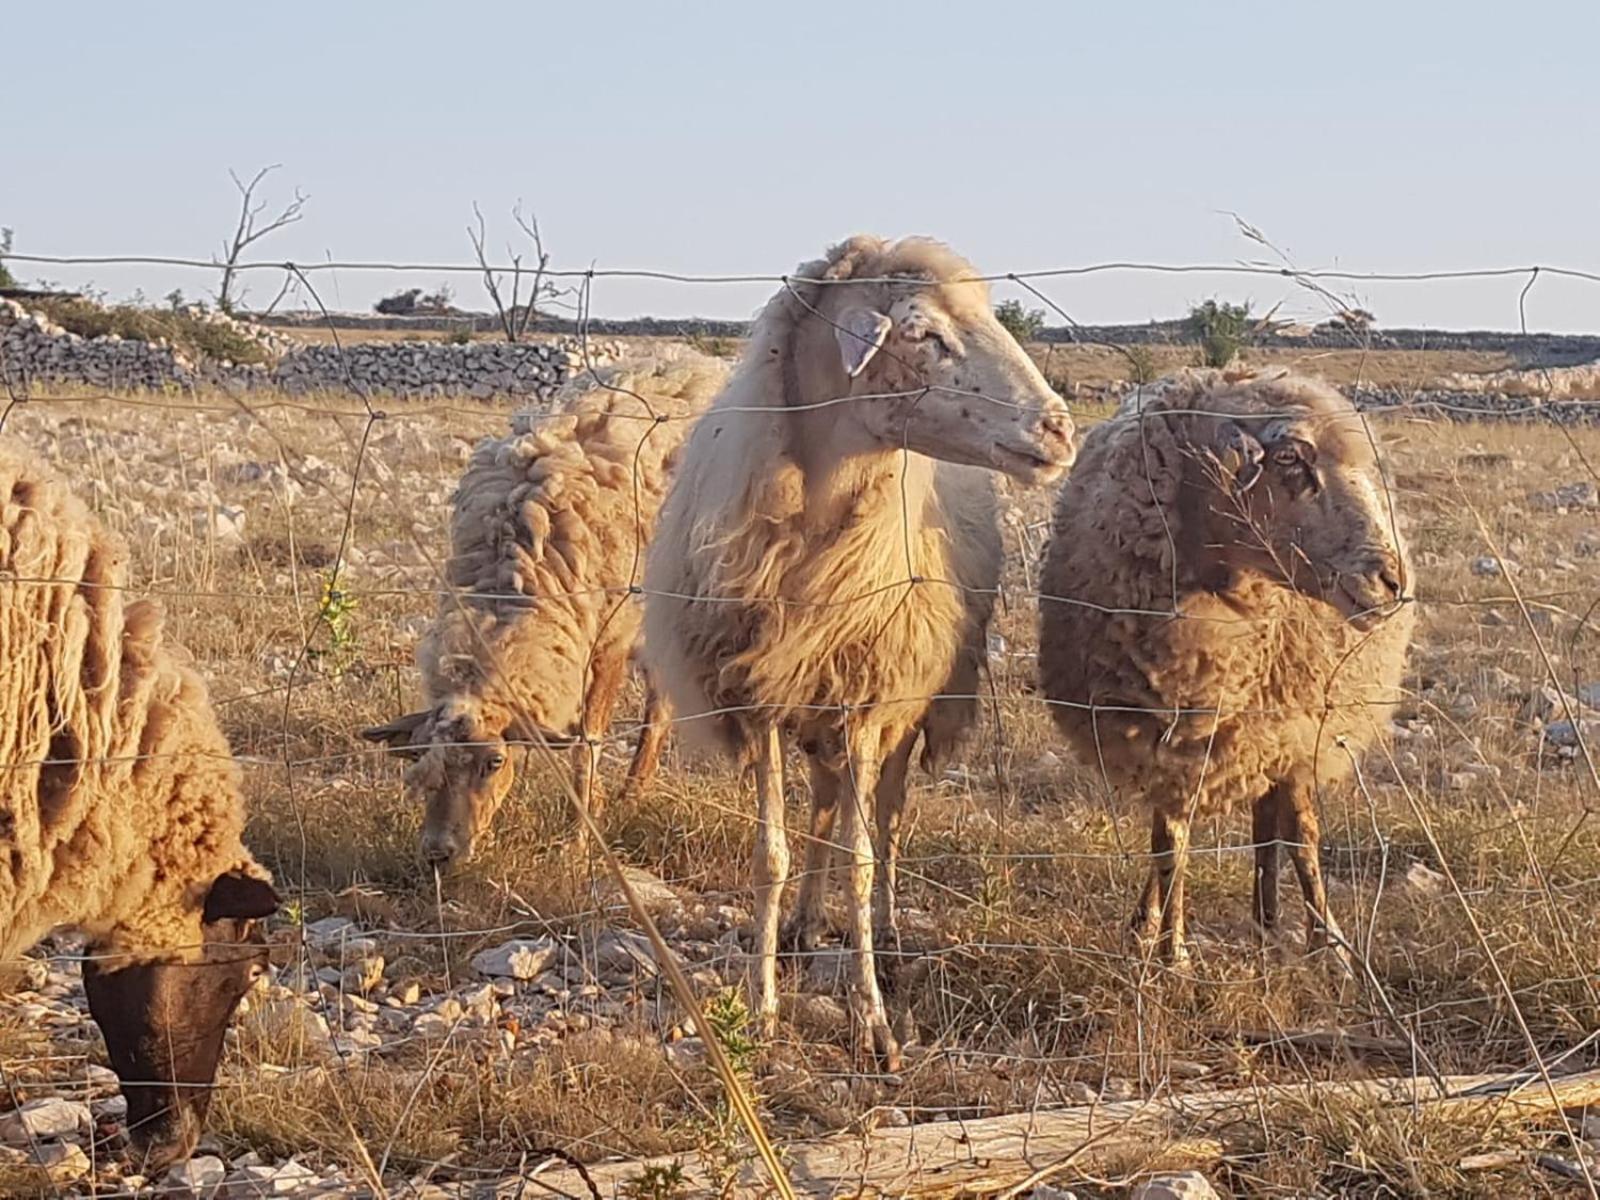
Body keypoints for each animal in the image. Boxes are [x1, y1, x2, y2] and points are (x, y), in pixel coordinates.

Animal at [361, 345, 726, 864]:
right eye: (419, 758)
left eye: (493, 762)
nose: (438, 853)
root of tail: (694, 357)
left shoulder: (610, 638)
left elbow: (587, 744)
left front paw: (578, 837)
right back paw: (633, 789)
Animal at [636, 236, 1075, 1068]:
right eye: (924, 333)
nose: (1061, 430)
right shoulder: (762, 697)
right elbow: (772, 855)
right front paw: (763, 1006)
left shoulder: (870, 700)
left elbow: (862, 858)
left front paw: (873, 1020)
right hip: (816, 708)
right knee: (825, 803)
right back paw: (806, 925)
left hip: (912, 702)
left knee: (886, 815)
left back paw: (889, 929)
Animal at [1036, 366, 1414, 966]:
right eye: (1290, 459)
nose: (1393, 581)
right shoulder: (1165, 736)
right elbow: (1170, 845)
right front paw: (1172, 953)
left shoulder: (1298, 733)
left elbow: (1300, 834)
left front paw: (1327, 945)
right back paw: (1160, 924)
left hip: (1274, 735)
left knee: (1271, 824)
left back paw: (1272, 922)